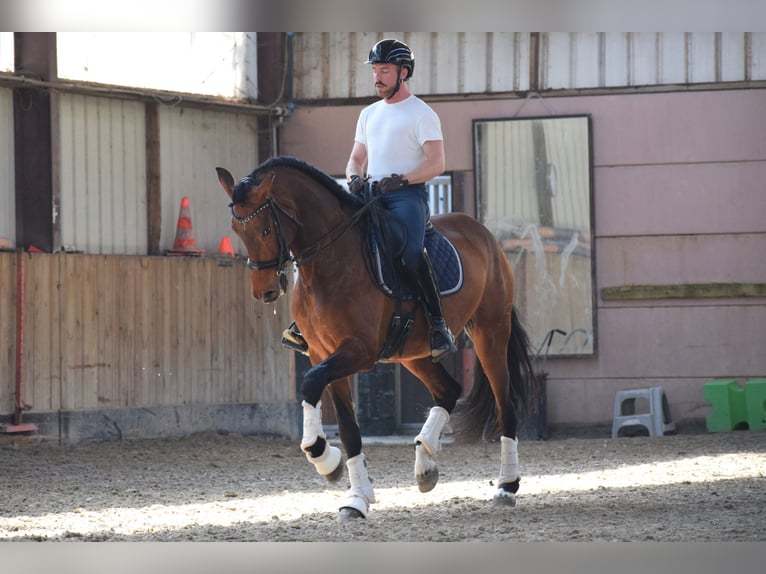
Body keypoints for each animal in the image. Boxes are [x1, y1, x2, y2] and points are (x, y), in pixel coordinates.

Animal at [216, 156, 540, 520]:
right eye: (237, 230)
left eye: (265, 229)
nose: (265, 292)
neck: (328, 262)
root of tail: (485, 235)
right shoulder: (322, 353)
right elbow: (348, 428)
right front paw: (353, 493)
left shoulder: (359, 351)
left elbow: (310, 383)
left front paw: (321, 454)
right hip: (413, 353)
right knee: (449, 390)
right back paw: (425, 464)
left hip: (490, 332)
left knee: (505, 403)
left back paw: (506, 485)